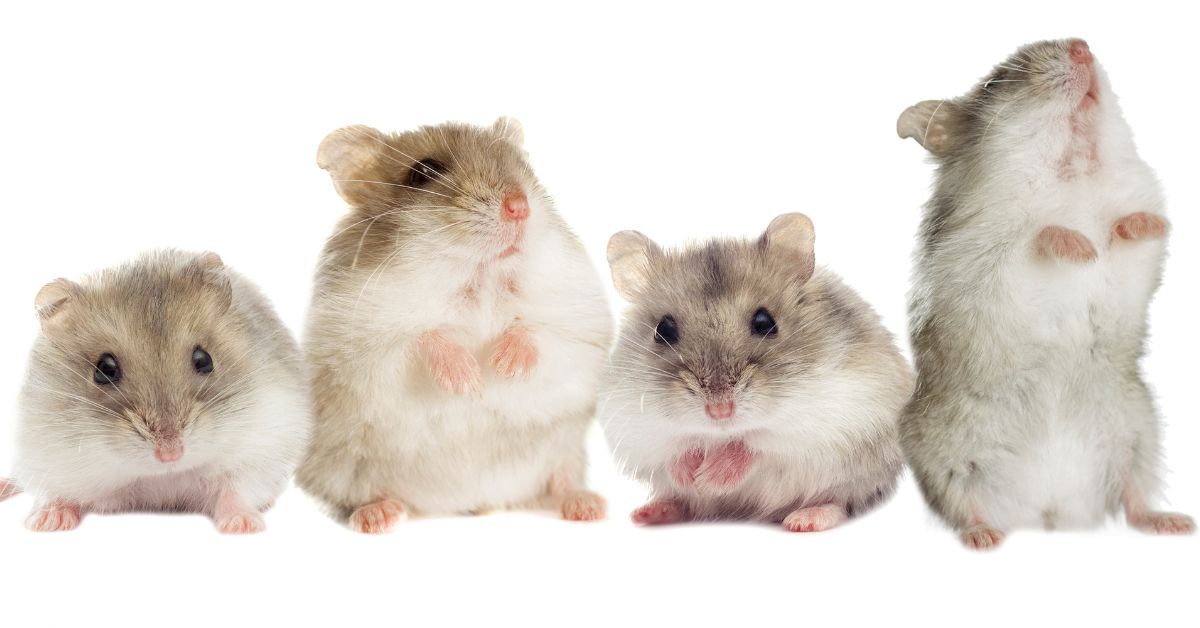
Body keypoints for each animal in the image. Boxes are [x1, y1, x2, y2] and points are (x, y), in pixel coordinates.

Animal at [5, 250, 311, 533]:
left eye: (204, 359)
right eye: (104, 369)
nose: (170, 454)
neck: (160, 476)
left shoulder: (264, 444)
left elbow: (237, 489)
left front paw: (242, 525)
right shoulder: (46, 454)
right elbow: (55, 493)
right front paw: (45, 522)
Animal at [296, 118, 612, 533]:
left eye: (523, 165)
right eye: (423, 172)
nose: (519, 207)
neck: (481, 277)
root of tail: (467, 500)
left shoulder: (583, 330)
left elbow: (543, 333)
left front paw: (503, 366)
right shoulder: (359, 350)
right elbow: (422, 337)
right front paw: (470, 382)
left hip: (565, 450)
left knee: (560, 480)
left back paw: (588, 506)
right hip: (338, 467)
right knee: (356, 497)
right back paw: (379, 515)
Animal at [600, 214, 913, 531]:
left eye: (765, 322)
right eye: (663, 330)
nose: (720, 410)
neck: (720, 433)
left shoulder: (831, 413)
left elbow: (756, 441)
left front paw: (708, 478)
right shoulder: (635, 425)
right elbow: (674, 446)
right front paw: (692, 478)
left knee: (840, 501)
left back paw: (804, 520)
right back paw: (649, 513)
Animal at [896, 39, 1194, 549]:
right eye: (996, 81)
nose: (1081, 46)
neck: (1072, 174)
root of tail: (1046, 510)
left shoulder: (1134, 261)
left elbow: (1132, 238)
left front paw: (1140, 226)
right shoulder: (979, 262)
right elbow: (1030, 238)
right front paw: (1079, 245)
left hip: (1138, 432)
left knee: (1133, 499)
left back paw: (1172, 522)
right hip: (942, 453)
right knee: (963, 502)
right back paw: (983, 535)